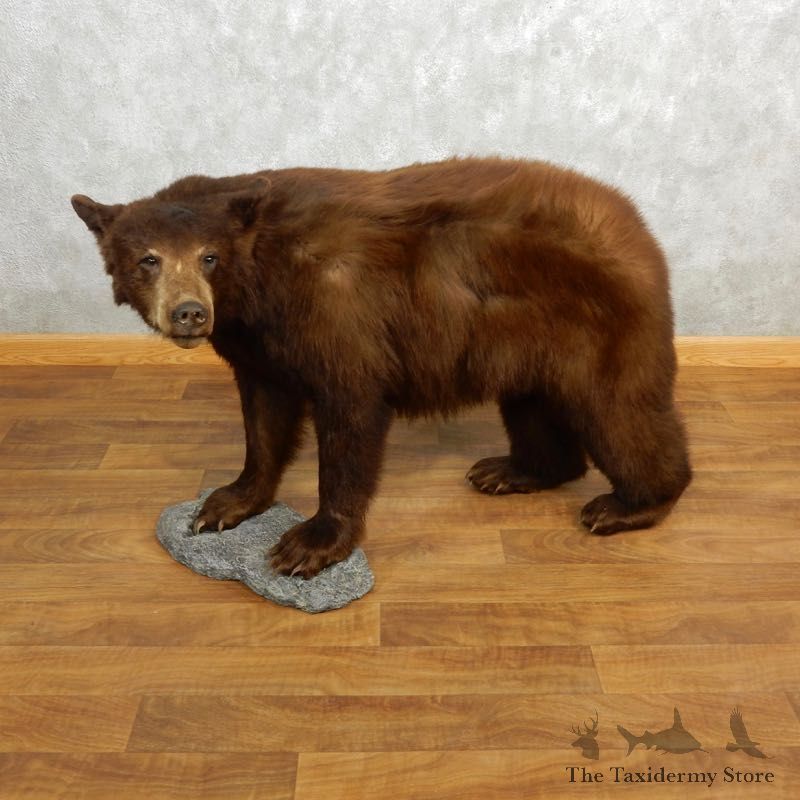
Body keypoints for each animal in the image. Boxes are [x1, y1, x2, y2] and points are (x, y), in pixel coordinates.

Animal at [71, 157, 691, 578]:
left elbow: (350, 411)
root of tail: (637, 226)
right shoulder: (260, 345)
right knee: (533, 405)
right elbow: (265, 418)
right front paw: (226, 502)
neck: (263, 280)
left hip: (600, 323)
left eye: (209, 256)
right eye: (148, 258)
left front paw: (310, 543)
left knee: (620, 412)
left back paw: (628, 504)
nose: (190, 312)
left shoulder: (335, 311)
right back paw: (510, 470)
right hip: (528, 338)